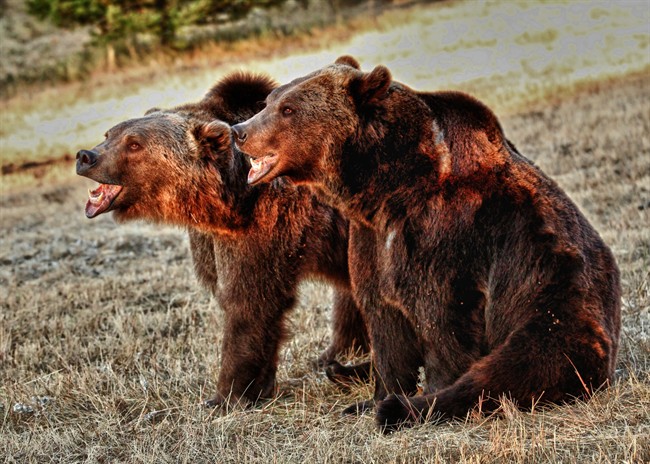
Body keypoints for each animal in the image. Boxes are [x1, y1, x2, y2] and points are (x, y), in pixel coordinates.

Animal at [75, 71, 370, 408]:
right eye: (109, 133)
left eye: (134, 143)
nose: (86, 156)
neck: (229, 203)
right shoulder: (213, 238)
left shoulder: (268, 223)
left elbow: (249, 302)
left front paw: (227, 395)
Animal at [231, 56, 622, 432]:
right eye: (269, 101)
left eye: (289, 109)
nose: (240, 131)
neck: (389, 188)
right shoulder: (372, 239)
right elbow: (384, 322)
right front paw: (375, 397)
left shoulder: (444, 231)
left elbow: (442, 317)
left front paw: (414, 398)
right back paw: (344, 371)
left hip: (555, 306)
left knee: (517, 367)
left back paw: (406, 409)